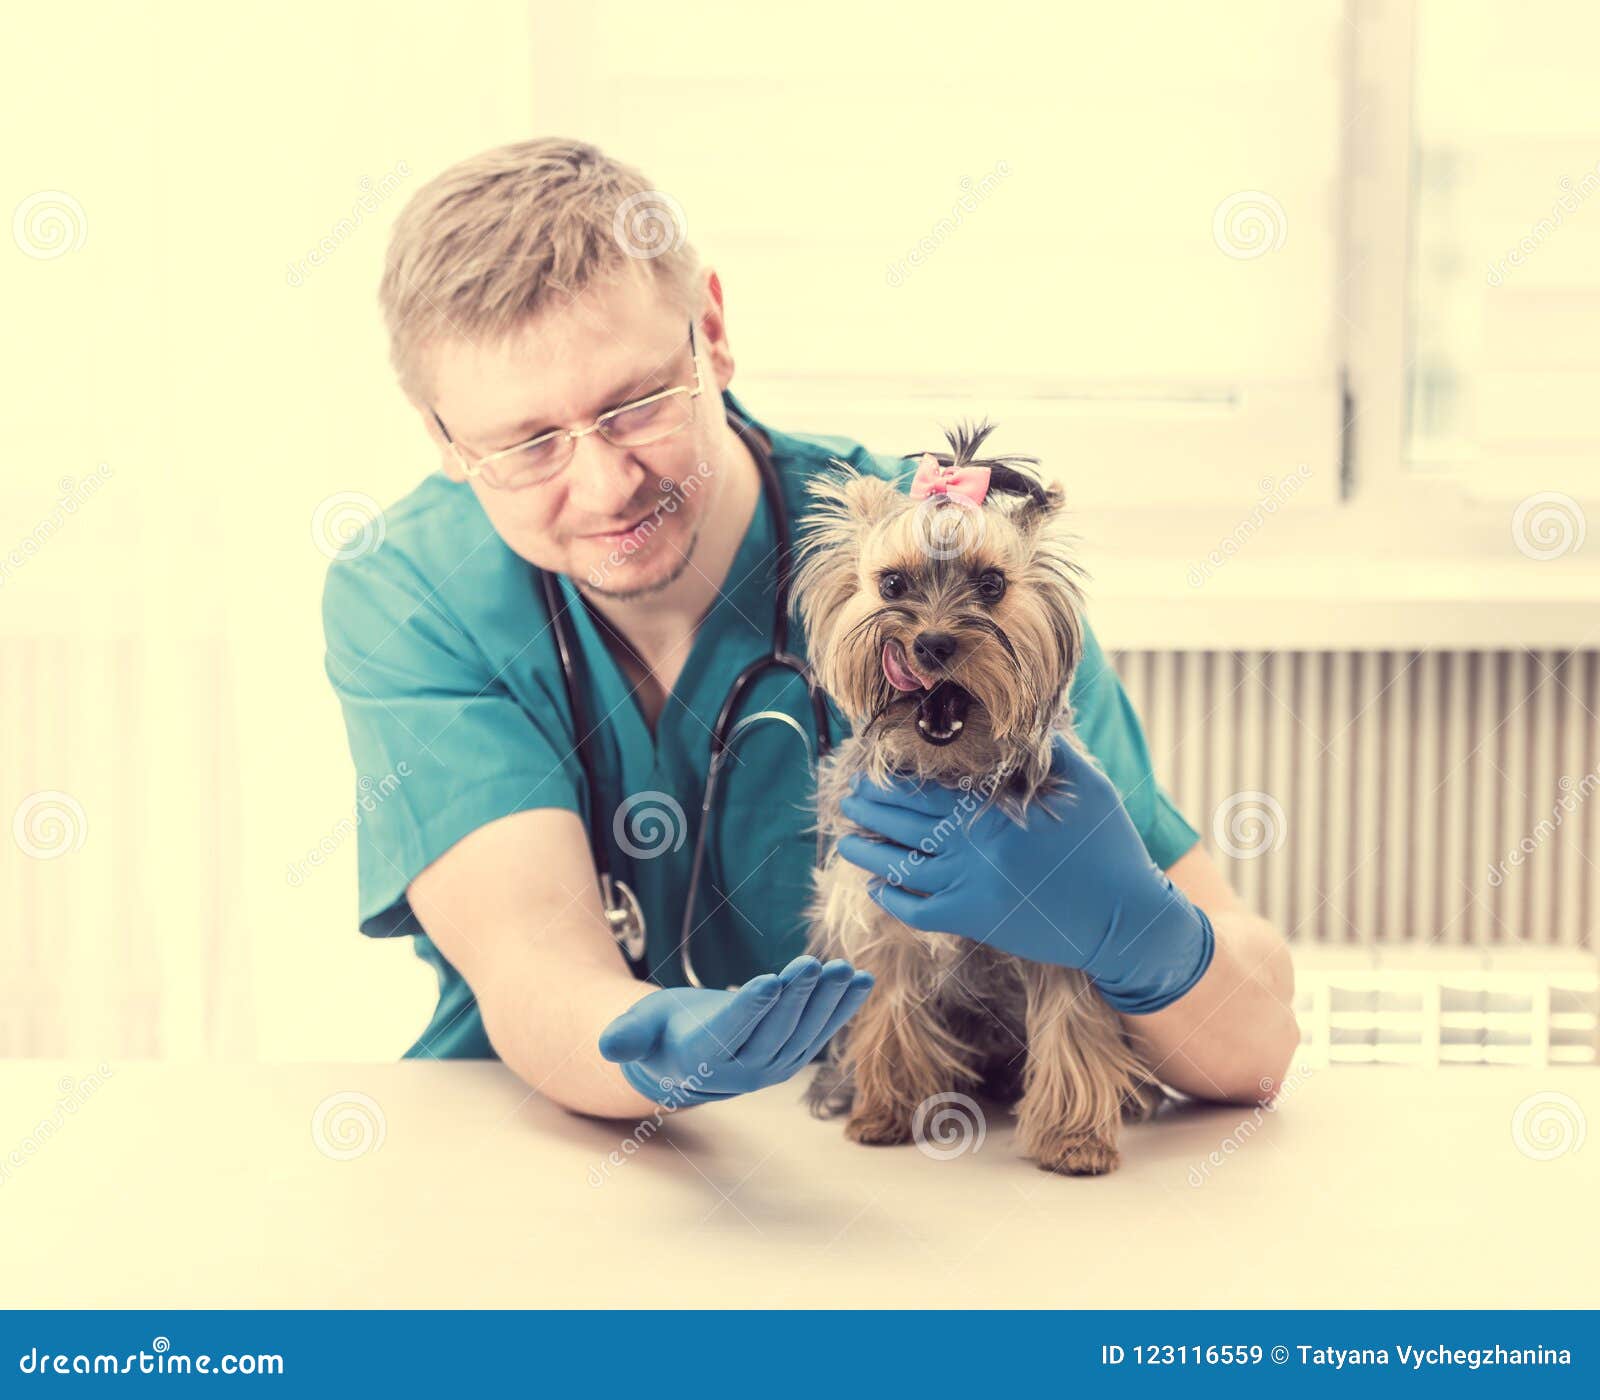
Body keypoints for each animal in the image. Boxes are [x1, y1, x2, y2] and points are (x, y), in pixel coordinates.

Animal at [796, 419, 1164, 1171]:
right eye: (893, 582)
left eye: (992, 584)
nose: (933, 642)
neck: (951, 781)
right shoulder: (882, 915)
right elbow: (890, 1007)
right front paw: (886, 1111)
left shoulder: (1067, 925)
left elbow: (1073, 1026)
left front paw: (1074, 1138)